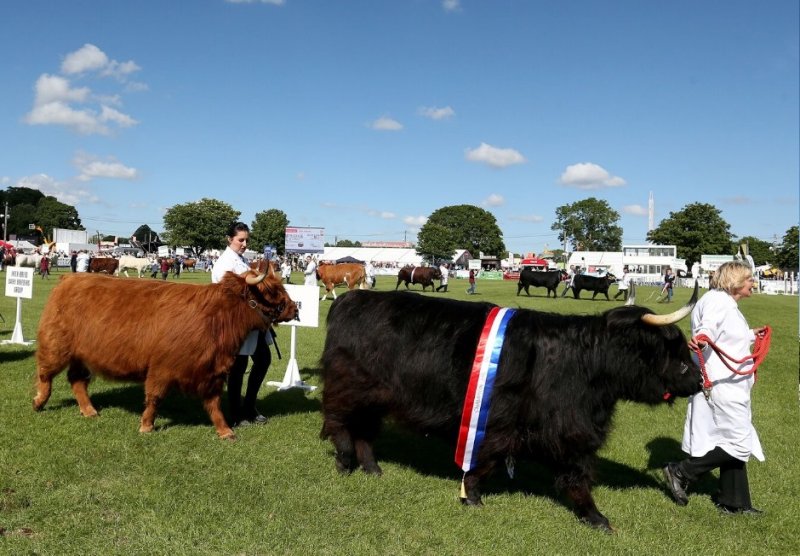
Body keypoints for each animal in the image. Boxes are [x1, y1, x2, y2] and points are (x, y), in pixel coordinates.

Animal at [33, 270, 296, 438]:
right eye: (271, 291)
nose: (295, 308)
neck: (216, 319)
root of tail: (70, 278)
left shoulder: (213, 373)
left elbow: (214, 404)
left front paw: (225, 431)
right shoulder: (161, 368)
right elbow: (155, 398)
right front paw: (146, 426)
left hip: (82, 355)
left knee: (77, 380)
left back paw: (89, 411)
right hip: (56, 345)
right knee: (46, 374)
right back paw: (39, 402)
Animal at [318, 284, 700, 532]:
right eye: (674, 347)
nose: (699, 380)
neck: (587, 366)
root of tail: (352, 297)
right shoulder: (555, 430)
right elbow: (564, 473)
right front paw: (596, 517)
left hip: (375, 396)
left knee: (365, 430)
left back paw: (372, 468)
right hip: (349, 386)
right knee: (338, 421)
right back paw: (345, 460)